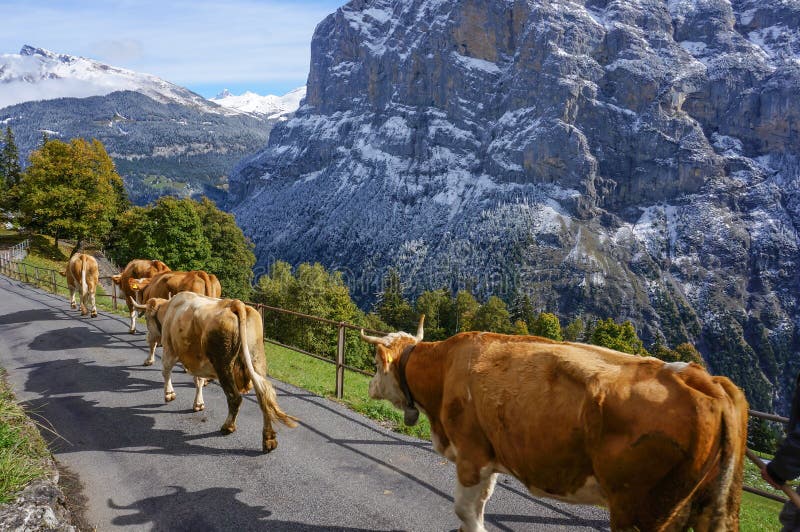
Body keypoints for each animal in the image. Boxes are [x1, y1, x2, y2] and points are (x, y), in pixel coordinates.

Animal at [134, 290, 296, 454]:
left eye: (146, 317)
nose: (148, 338)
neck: (170, 310)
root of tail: (235, 304)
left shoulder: (169, 349)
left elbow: (166, 371)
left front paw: (169, 394)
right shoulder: (197, 359)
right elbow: (198, 380)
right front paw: (198, 403)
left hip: (223, 365)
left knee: (235, 397)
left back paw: (228, 427)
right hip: (256, 360)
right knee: (264, 395)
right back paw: (269, 439)